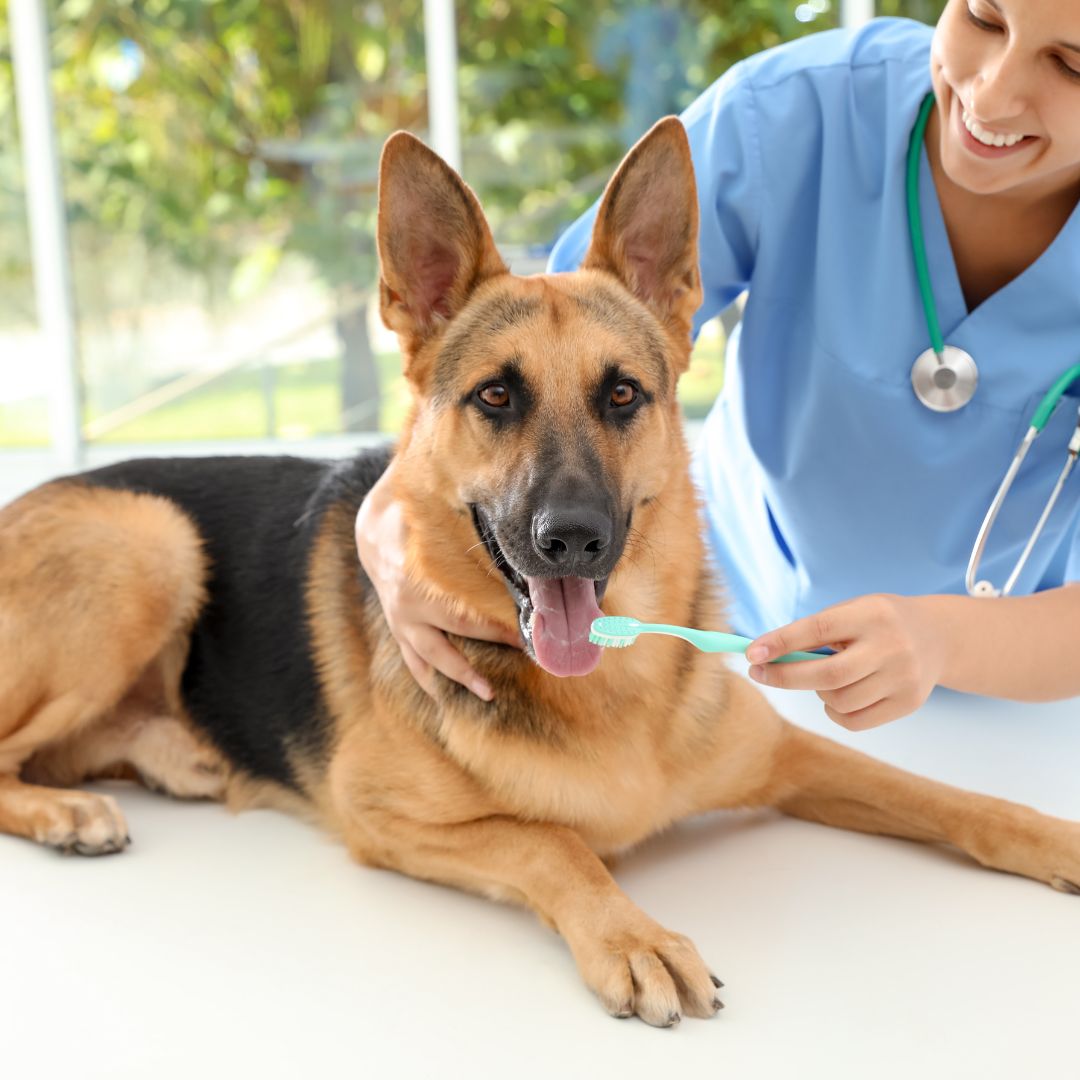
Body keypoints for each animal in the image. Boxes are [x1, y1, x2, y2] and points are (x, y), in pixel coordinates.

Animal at [2, 120, 1080, 1028]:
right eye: (495, 397)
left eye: (623, 395)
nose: (572, 541)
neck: (612, 690)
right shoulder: (380, 817)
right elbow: (550, 840)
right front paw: (633, 934)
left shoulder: (789, 753)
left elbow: (949, 797)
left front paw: (1053, 838)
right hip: (149, 543)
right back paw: (66, 812)